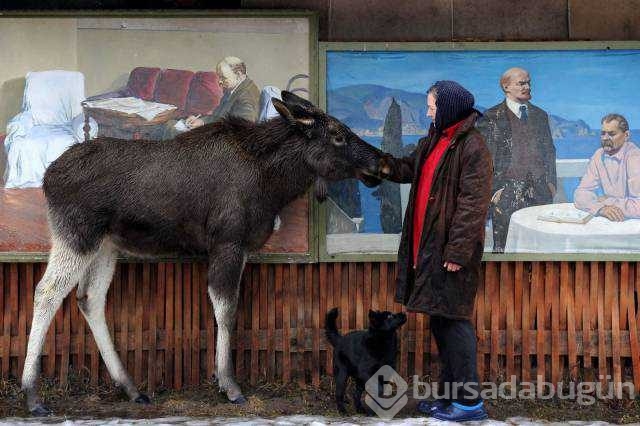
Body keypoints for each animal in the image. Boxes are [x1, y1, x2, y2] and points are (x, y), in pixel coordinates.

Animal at [21, 91, 390, 414]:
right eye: (338, 135)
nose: (382, 162)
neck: (273, 181)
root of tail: (48, 177)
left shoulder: (238, 247)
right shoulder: (228, 242)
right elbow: (226, 310)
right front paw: (229, 385)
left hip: (107, 245)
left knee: (90, 299)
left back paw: (131, 388)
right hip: (76, 233)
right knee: (47, 292)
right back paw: (32, 394)